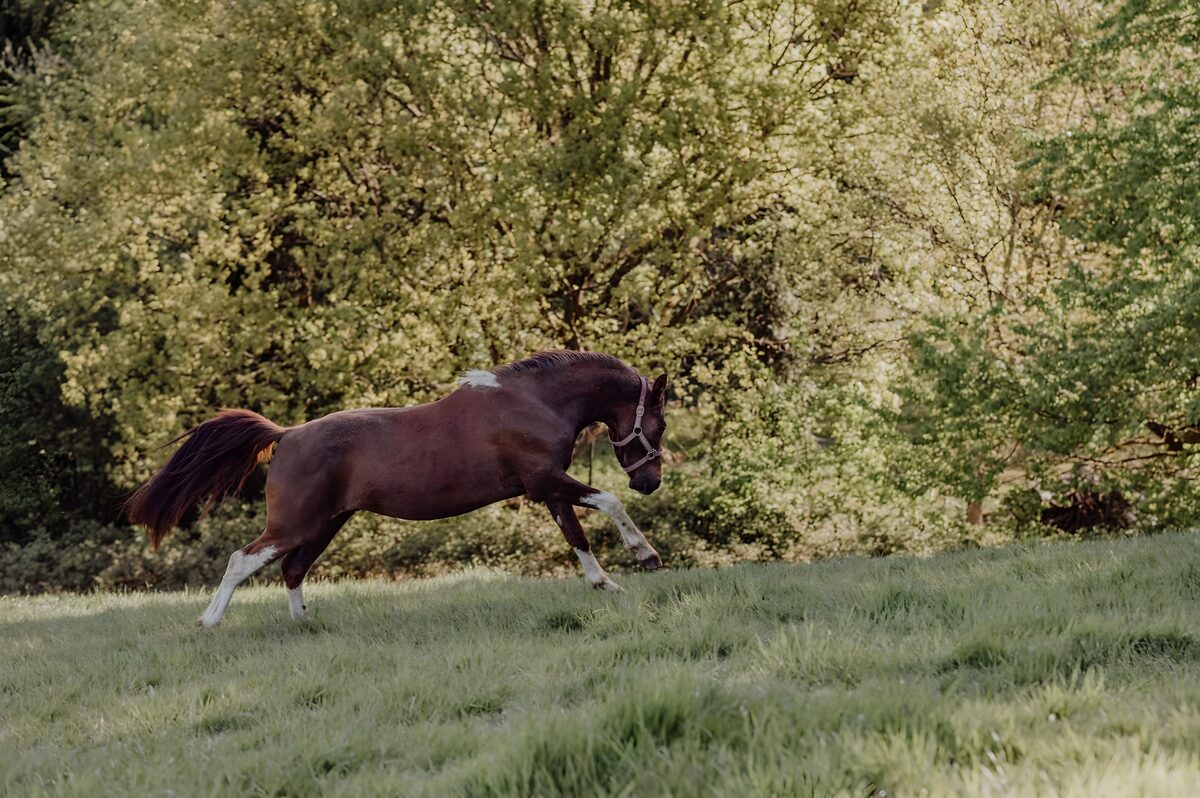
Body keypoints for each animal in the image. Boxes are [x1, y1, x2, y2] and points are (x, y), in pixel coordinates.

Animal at [125, 351, 669, 627]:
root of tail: (288, 434)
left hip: (325, 524)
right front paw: (646, 555)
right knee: (244, 559)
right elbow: (607, 501)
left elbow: (576, 537)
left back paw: (304, 624)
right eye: (661, 424)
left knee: (292, 569)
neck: (535, 401)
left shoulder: (548, 488)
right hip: (294, 523)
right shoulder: (545, 482)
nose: (649, 482)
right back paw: (209, 622)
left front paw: (605, 584)